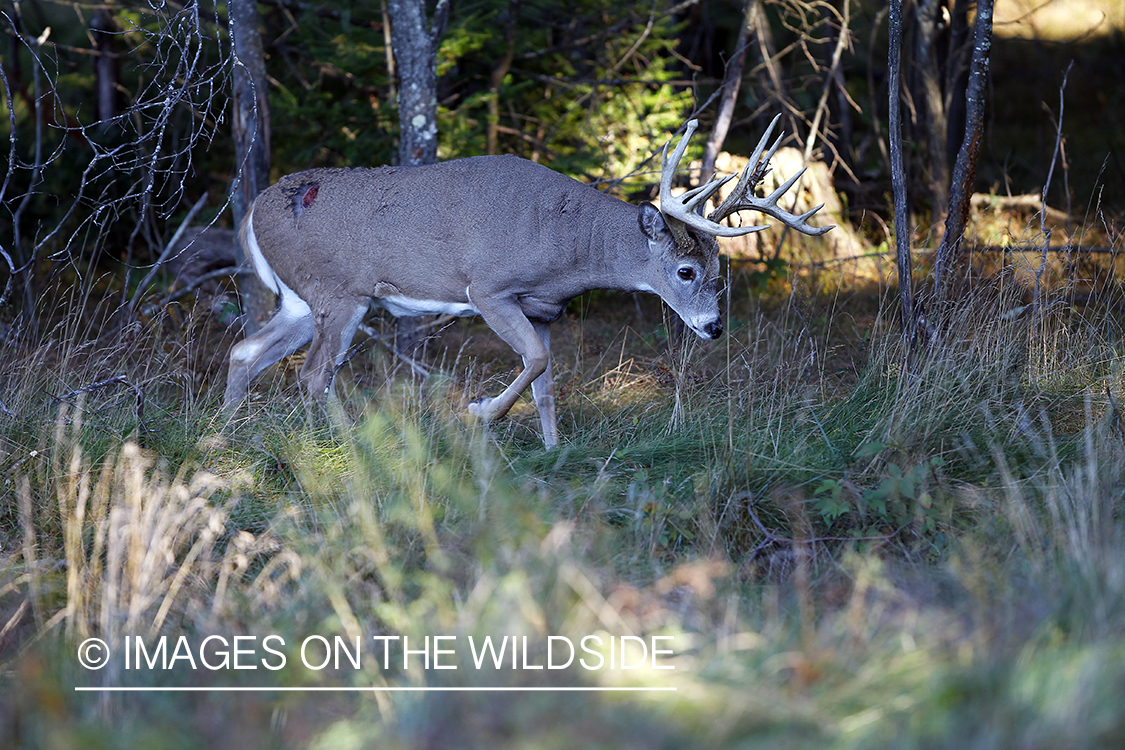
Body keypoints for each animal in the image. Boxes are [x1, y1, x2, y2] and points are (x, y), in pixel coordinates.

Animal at [223, 116, 832, 445]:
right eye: (686, 271)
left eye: (719, 270)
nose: (714, 327)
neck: (565, 247)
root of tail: (252, 209)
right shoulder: (489, 288)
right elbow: (535, 362)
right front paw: (480, 413)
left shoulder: (544, 310)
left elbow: (546, 382)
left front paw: (553, 449)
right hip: (339, 292)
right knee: (313, 373)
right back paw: (350, 443)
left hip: (302, 300)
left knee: (245, 352)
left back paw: (224, 433)